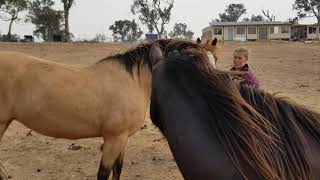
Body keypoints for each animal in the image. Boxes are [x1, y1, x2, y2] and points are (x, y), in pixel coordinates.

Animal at [0, 38, 218, 179]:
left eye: (215, 60)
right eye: (199, 65)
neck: (133, 81)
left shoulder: (122, 139)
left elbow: (117, 169)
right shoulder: (114, 138)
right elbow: (104, 173)